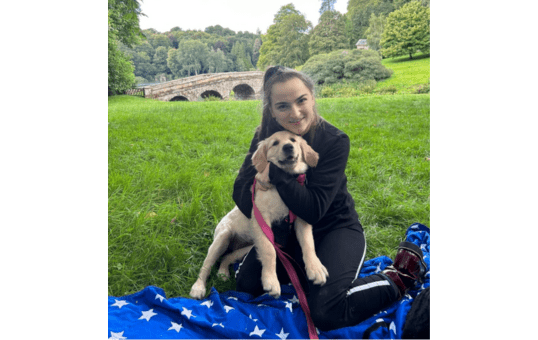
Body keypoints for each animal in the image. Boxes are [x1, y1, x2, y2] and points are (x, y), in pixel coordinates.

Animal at [191, 131, 328, 298]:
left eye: (293, 140)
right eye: (275, 143)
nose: (288, 147)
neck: (281, 186)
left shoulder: (302, 218)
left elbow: (309, 244)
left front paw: (315, 268)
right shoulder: (261, 218)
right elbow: (270, 251)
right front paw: (271, 281)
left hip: (246, 248)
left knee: (226, 257)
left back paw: (223, 272)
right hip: (222, 237)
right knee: (206, 265)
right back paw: (198, 287)